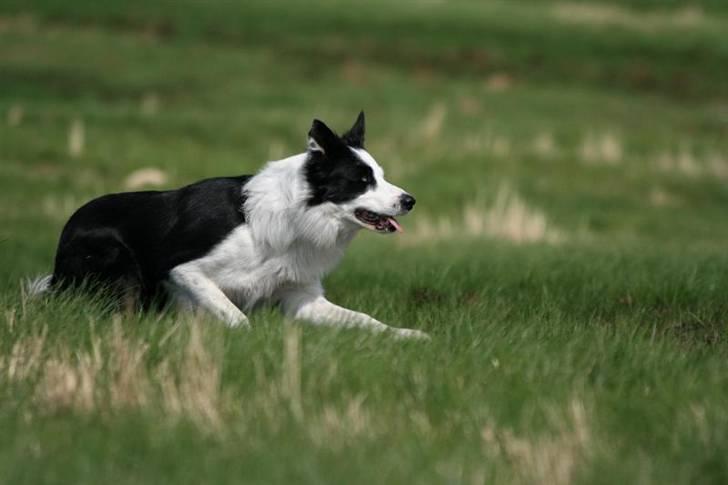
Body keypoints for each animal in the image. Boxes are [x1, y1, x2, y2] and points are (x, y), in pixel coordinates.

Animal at [34, 112, 430, 340]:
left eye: (380, 175)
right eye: (362, 180)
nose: (410, 200)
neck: (295, 218)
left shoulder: (300, 297)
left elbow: (364, 319)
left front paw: (405, 334)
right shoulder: (181, 270)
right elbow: (237, 317)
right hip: (117, 259)